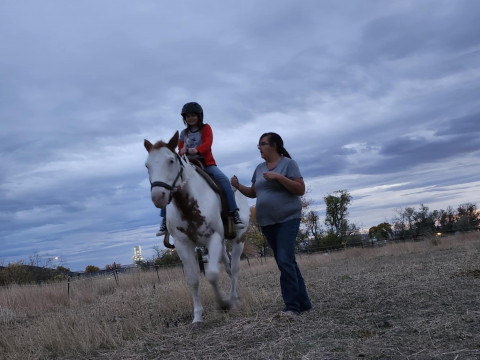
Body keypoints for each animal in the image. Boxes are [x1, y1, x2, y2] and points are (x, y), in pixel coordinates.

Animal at [143, 131, 249, 322]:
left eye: (171, 160)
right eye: (147, 165)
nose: (158, 196)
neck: (189, 204)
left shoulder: (213, 238)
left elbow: (212, 274)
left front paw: (223, 304)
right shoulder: (182, 244)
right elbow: (193, 279)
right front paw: (198, 316)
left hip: (239, 240)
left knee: (235, 268)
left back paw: (233, 299)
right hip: (222, 245)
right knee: (228, 267)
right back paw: (234, 298)